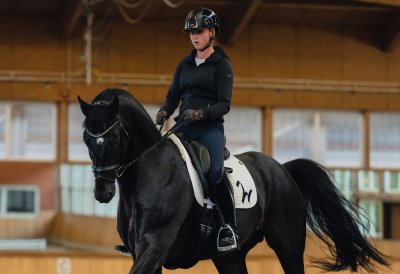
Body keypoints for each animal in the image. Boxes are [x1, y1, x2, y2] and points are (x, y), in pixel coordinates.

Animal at [78, 89, 388, 272]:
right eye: (86, 140)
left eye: (113, 139)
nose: (102, 192)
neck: (150, 172)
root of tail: (282, 170)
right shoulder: (142, 253)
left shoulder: (154, 247)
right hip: (229, 256)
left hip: (288, 245)